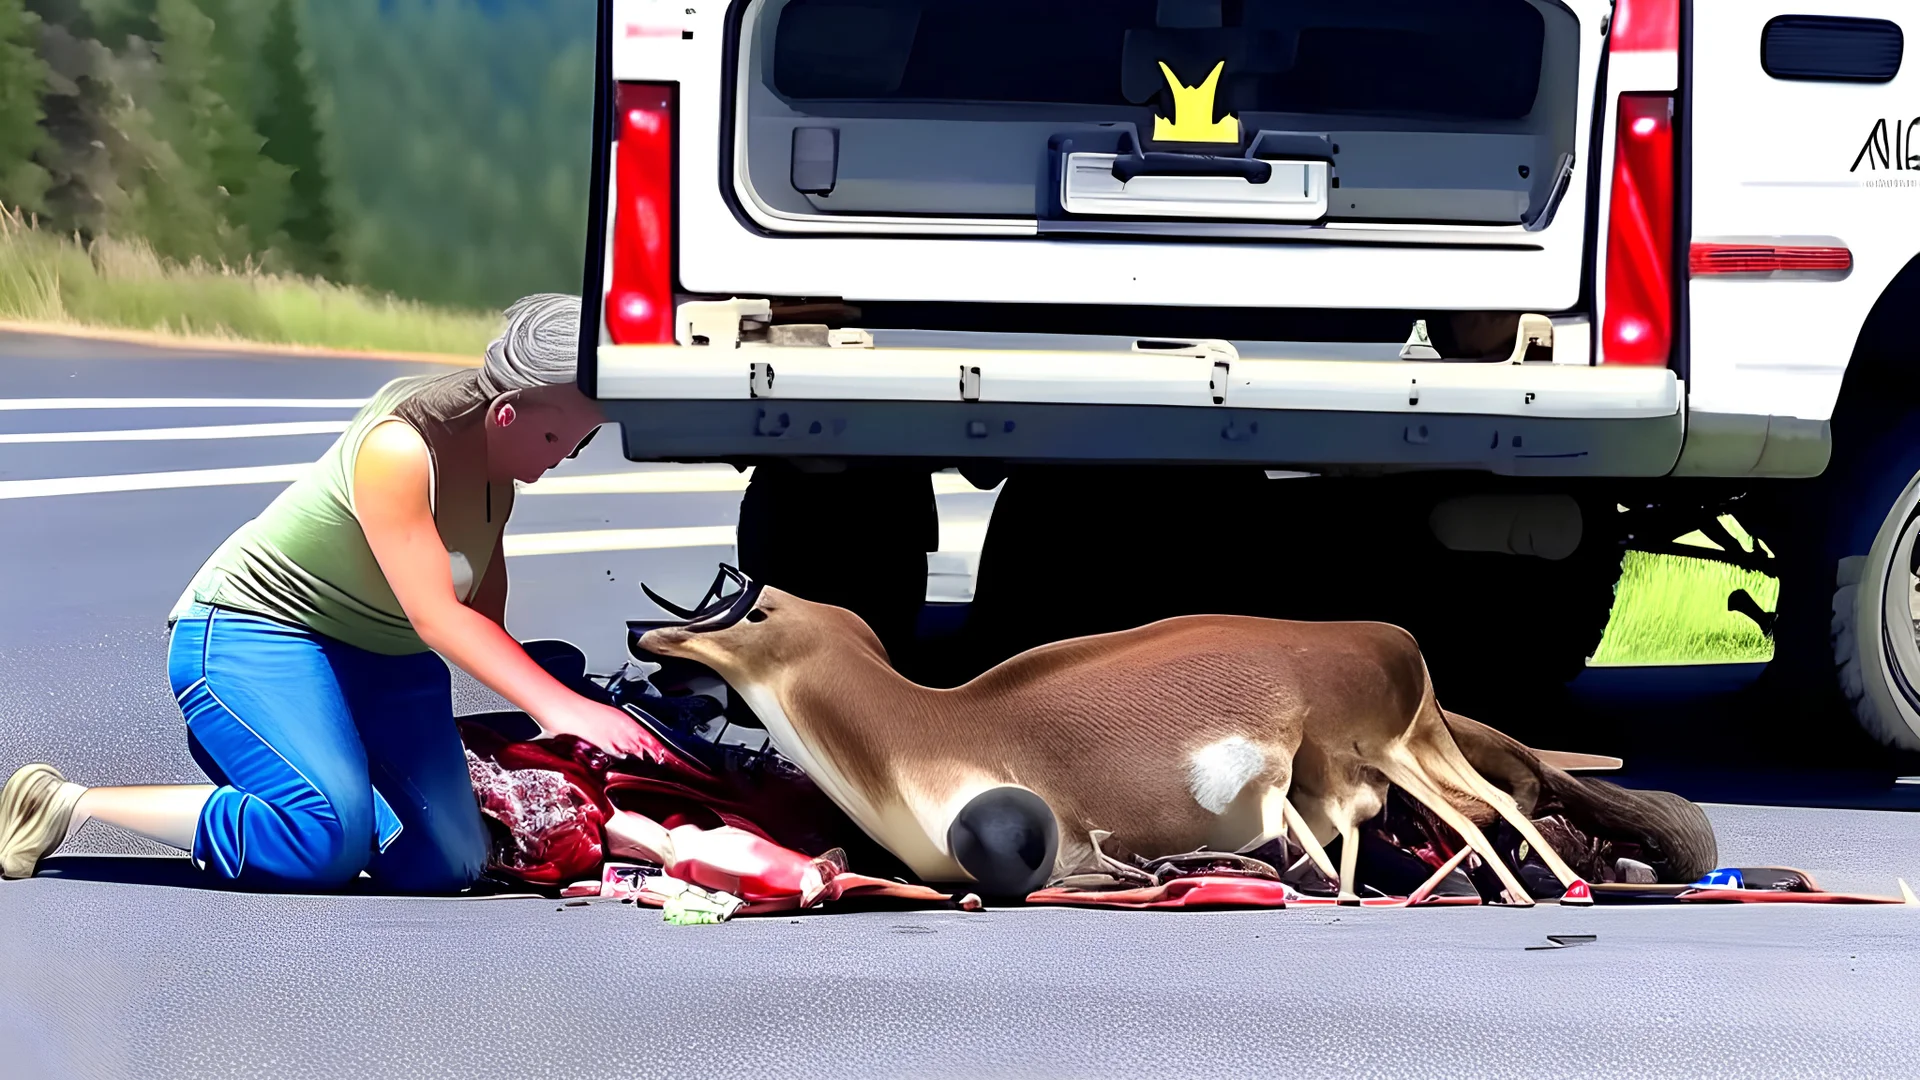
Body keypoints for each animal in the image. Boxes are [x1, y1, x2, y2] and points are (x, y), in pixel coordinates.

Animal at [637, 568, 1720, 903]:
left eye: (753, 611)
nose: (654, 637)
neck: (921, 729)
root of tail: (1394, 639)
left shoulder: (1024, 818)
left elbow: (1053, 857)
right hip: (1390, 750)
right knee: (1471, 805)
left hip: (1378, 744)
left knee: (1479, 807)